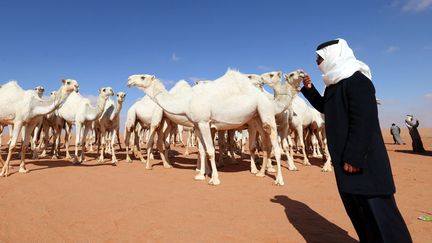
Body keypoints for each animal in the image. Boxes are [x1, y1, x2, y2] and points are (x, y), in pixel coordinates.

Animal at [126, 69, 286, 185]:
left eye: (143, 77)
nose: (128, 79)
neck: (185, 101)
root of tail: (267, 98)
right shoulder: (197, 125)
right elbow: (202, 151)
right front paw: (200, 175)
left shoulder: (204, 122)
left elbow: (210, 151)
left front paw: (214, 179)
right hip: (257, 117)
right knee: (266, 146)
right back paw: (260, 173)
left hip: (266, 112)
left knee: (276, 146)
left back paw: (279, 180)